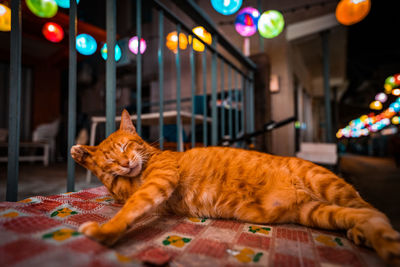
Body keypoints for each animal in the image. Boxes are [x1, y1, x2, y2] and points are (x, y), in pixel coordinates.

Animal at [71, 110, 400, 264]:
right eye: (112, 158)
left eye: (127, 145)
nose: (126, 162)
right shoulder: (128, 186)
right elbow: (114, 186)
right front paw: (84, 154)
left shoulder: (157, 182)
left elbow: (130, 208)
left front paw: (104, 232)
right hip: (317, 212)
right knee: (365, 216)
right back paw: (365, 234)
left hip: (327, 186)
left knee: (376, 211)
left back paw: (381, 241)